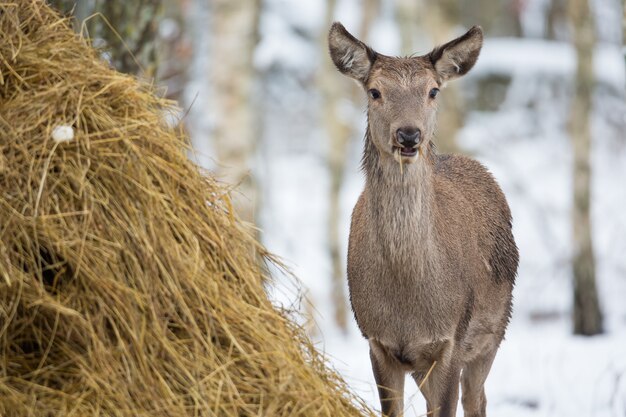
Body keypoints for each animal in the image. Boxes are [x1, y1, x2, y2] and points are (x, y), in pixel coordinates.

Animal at [326, 23, 516, 416]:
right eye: (375, 91)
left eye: (432, 90)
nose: (409, 134)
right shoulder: (377, 340)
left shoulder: (452, 338)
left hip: (494, 330)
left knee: (476, 398)